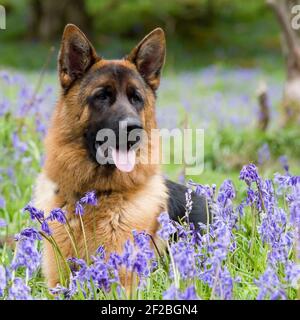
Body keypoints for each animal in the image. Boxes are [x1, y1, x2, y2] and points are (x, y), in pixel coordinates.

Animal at [32, 25, 206, 288]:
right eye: (102, 96)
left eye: (136, 98)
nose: (134, 129)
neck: (99, 193)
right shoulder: (56, 280)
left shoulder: (124, 281)